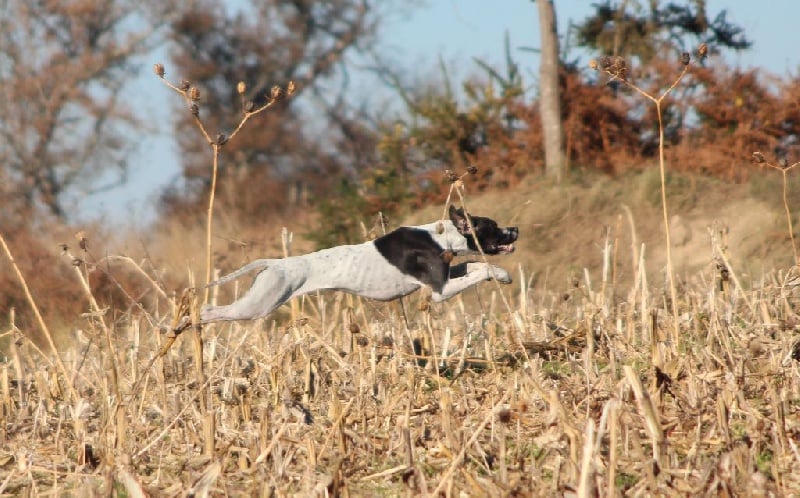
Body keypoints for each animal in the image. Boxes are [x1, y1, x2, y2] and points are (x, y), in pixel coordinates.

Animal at [200, 205, 520, 324]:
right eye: (493, 226)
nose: (515, 229)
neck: (440, 236)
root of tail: (275, 264)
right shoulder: (440, 291)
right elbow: (482, 267)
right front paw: (502, 273)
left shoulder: (445, 276)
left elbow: (475, 265)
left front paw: (499, 274)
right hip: (259, 304)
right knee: (211, 311)